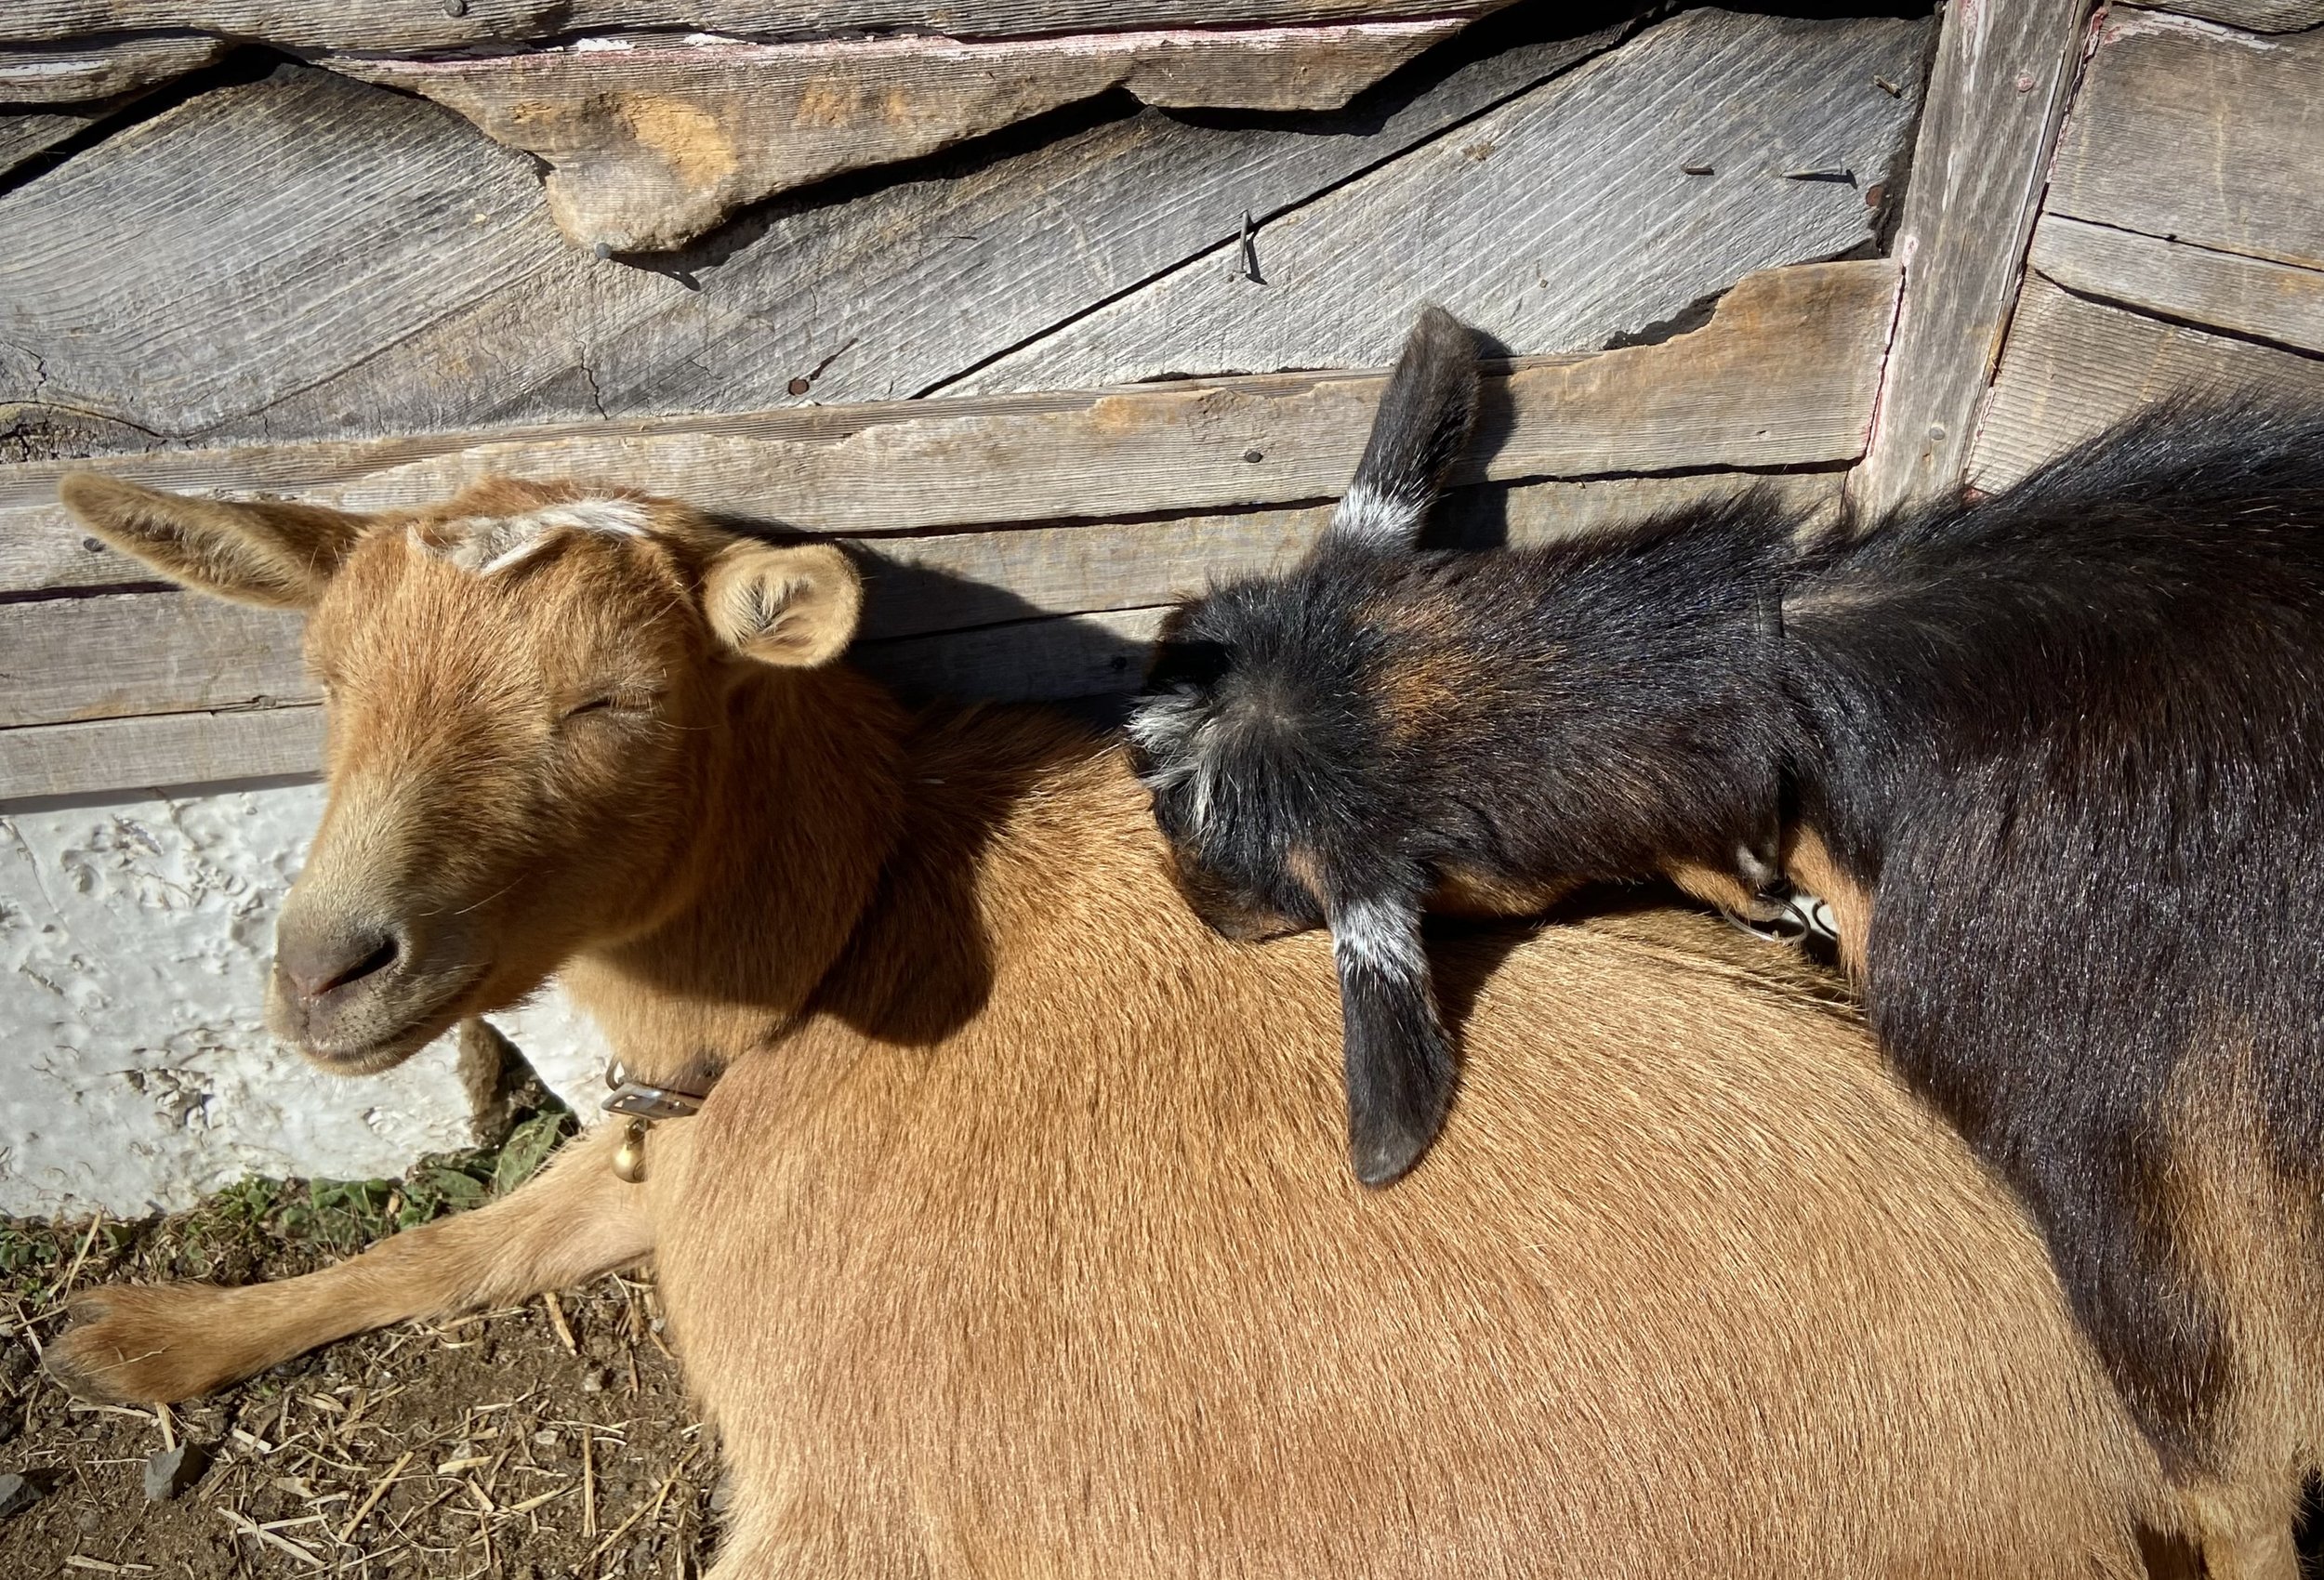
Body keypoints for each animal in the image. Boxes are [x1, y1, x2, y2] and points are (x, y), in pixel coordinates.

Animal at [59, 471, 2194, 1580]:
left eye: (614, 707)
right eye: (327, 678)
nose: (328, 965)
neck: (851, 933)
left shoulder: (845, 1493)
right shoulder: (661, 1141)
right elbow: (469, 1235)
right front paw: (150, 1334)